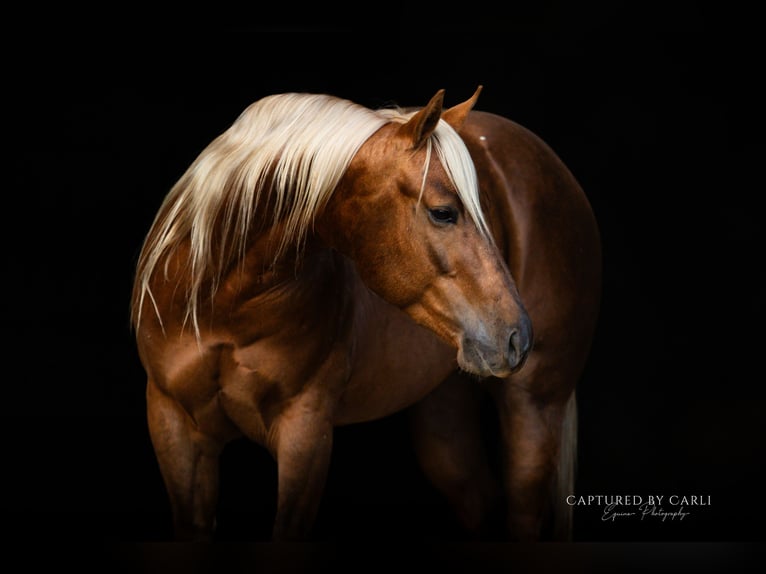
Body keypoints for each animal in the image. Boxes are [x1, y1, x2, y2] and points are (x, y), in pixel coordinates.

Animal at [130, 86, 601, 542]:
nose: (517, 336)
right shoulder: (175, 428)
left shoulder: (305, 433)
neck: (221, 304)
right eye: (443, 212)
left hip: (535, 408)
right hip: (443, 417)